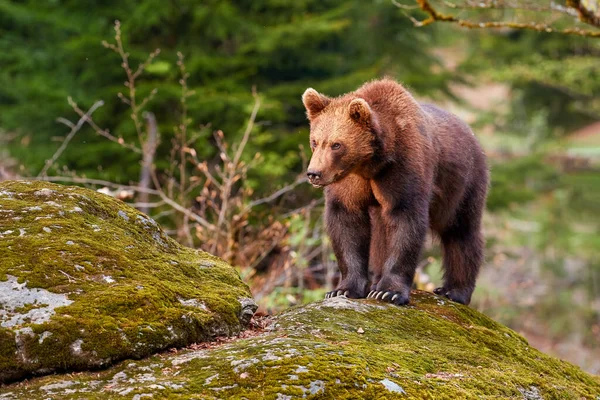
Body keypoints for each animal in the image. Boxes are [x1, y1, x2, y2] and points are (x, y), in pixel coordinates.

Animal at [302, 78, 490, 304]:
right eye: (315, 141)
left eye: (336, 145)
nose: (314, 173)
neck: (371, 164)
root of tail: (472, 134)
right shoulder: (350, 182)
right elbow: (346, 221)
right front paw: (343, 289)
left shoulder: (403, 167)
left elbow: (405, 219)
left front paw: (389, 292)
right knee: (381, 233)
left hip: (462, 182)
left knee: (461, 229)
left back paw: (454, 290)